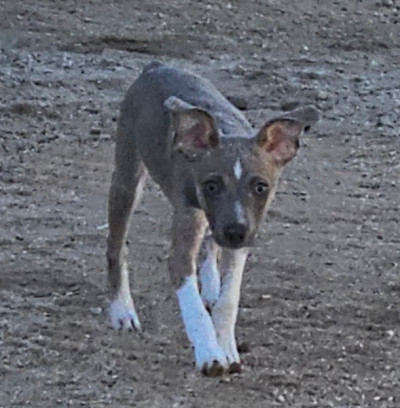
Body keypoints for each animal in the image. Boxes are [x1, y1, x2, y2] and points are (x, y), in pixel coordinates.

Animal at [106, 60, 318, 376]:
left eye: (260, 187)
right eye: (211, 185)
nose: (235, 231)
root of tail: (156, 66)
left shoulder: (242, 237)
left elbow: (229, 299)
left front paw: (226, 346)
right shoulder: (185, 237)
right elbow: (192, 306)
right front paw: (210, 354)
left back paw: (210, 284)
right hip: (126, 179)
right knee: (116, 247)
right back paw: (122, 310)